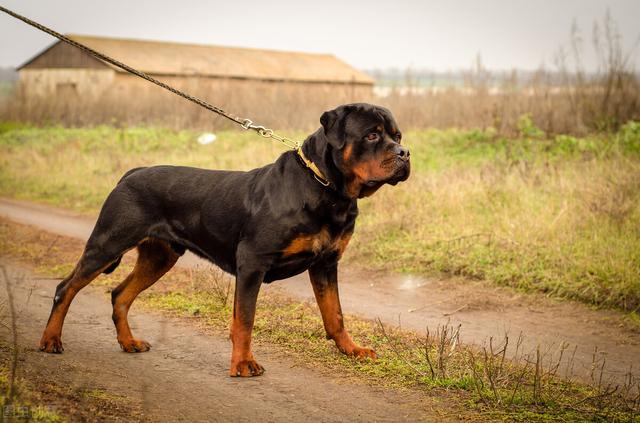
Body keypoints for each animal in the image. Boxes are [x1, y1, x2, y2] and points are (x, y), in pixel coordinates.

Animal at [40, 103, 410, 378]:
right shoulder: (252, 263)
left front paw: (352, 349)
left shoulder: (326, 263)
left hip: (160, 256)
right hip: (108, 243)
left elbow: (335, 315)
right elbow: (244, 319)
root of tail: (131, 173)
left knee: (120, 294)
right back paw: (51, 340)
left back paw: (128, 342)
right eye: (372, 134)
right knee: (66, 288)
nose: (405, 153)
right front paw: (243, 363)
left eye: (397, 135)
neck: (326, 189)